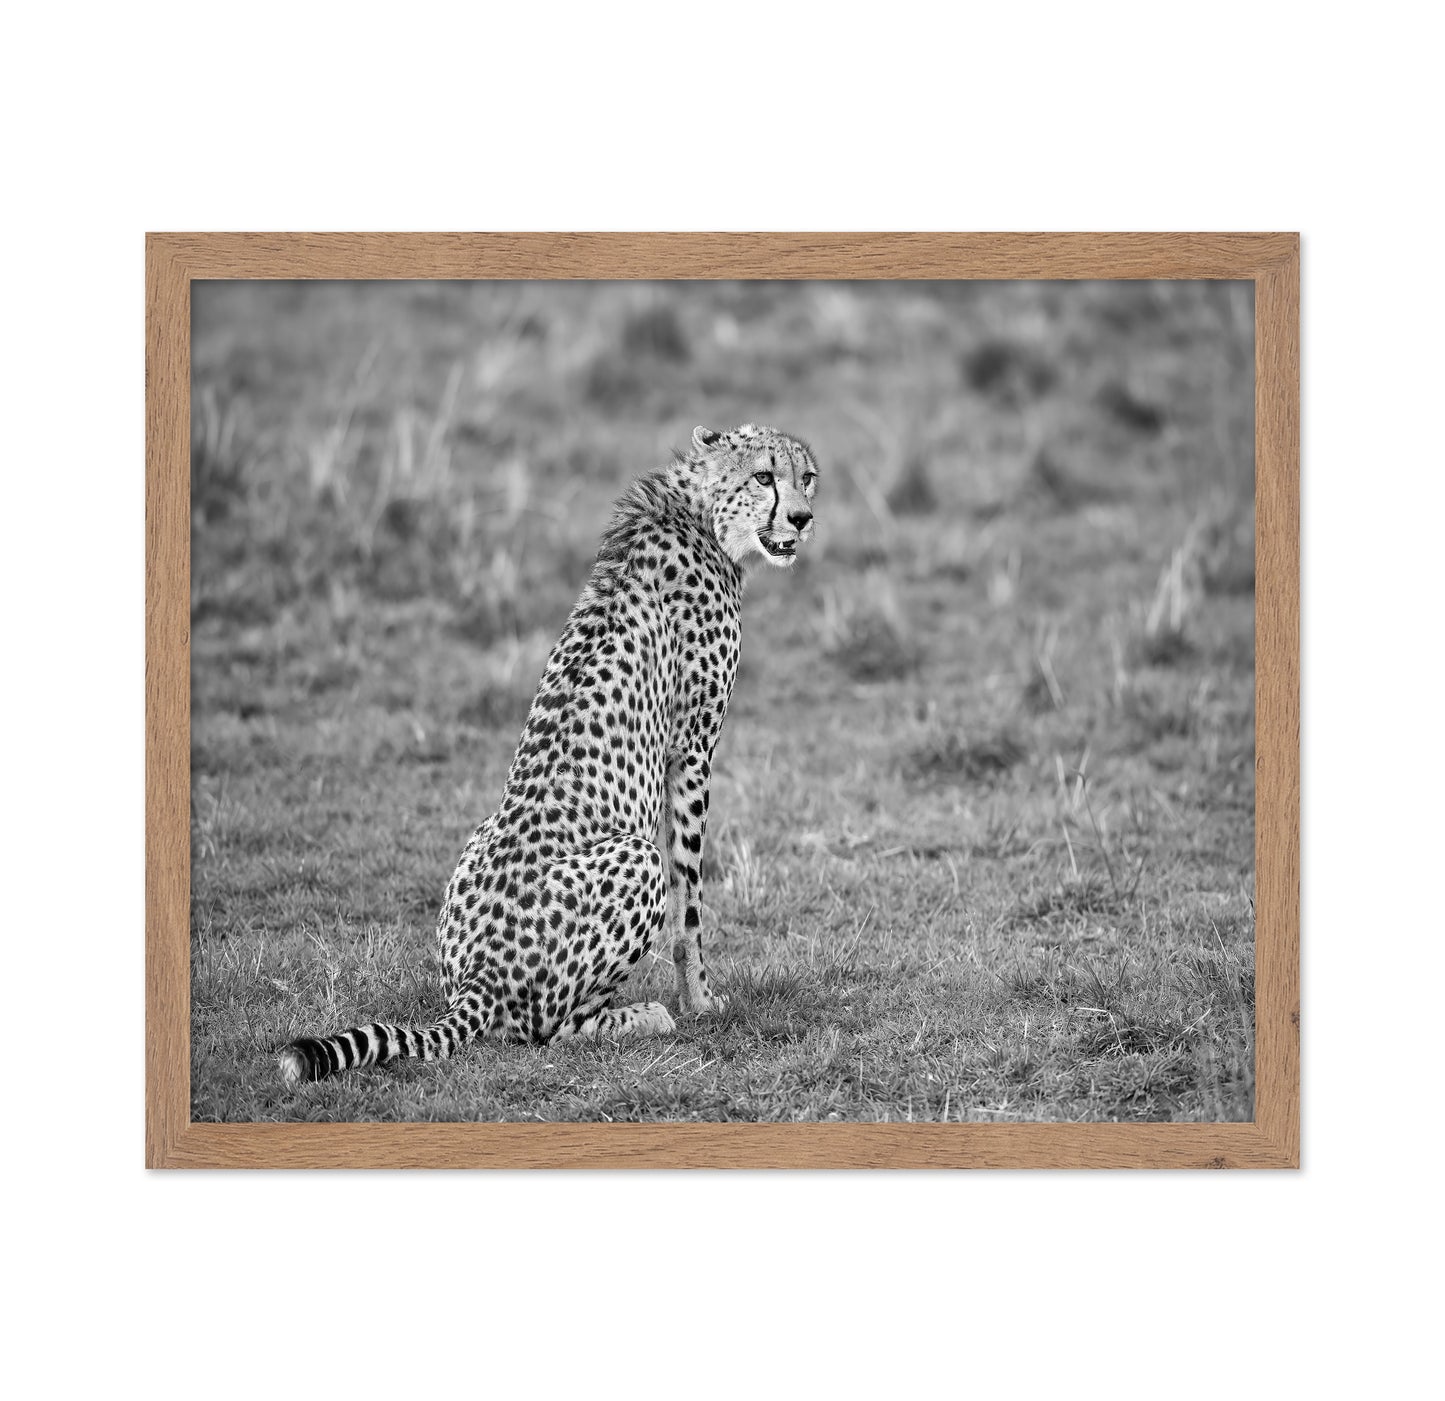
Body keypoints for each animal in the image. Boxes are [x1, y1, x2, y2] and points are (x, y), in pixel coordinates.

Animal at [278, 423, 819, 1084]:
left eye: (806, 477)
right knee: (550, 1028)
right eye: (764, 476)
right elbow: (691, 901)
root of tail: (479, 976)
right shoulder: (692, 750)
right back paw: (644, 1016)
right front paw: (701, 1000)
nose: (802, 517)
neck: (699, 512)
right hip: (635, 859)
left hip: (479, 843)